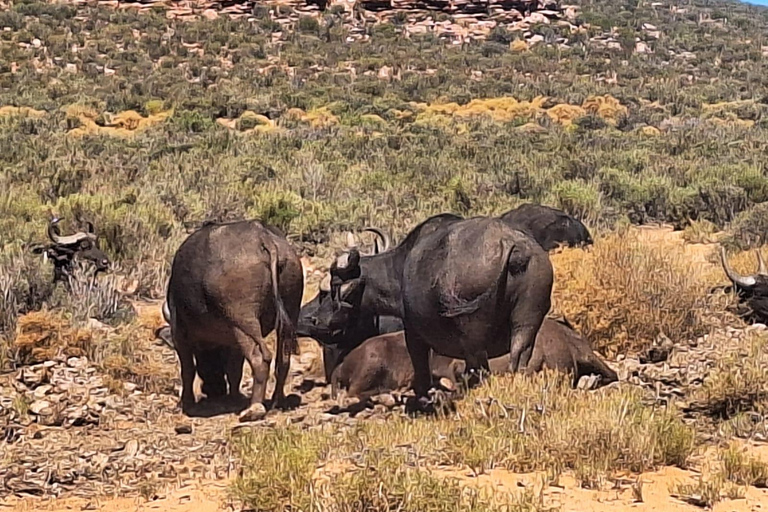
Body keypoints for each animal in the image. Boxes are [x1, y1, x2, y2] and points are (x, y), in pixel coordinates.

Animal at [165, 219, 304, 416]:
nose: (214, 390)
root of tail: (262, 237)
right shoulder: (233, 341)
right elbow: (234, 369)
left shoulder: (180, 335)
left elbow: (188, 370)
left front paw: (187, 402)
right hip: (289, 312)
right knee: (283, 358)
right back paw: (278, 401)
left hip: (243, 322)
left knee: (261, 358)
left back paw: (254, 408)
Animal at [308, 213, 556, 412]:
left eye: (334, 284)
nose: (316, 319)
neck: (401, 268)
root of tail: (512, 246)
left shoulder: (414, 334)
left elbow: (421, 369)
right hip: (527, 320)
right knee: (518, 356)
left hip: (473, 337)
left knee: (480, 370)